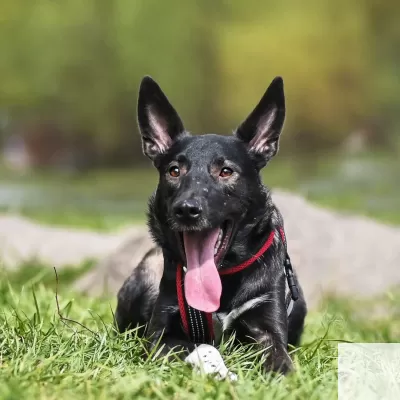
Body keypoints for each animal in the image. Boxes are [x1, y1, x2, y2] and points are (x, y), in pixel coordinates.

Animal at [115, 76, 306, 378]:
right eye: (174, 171)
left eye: (225, 171)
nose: (186, 209)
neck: (223, 276)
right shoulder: (159, 338)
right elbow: (204, 346)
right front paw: (221, 372)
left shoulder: (269, 328)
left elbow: (279, 358)